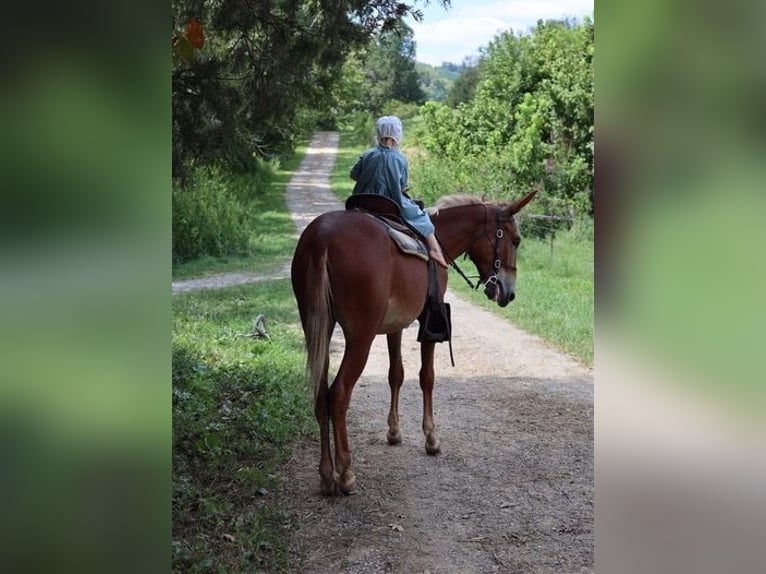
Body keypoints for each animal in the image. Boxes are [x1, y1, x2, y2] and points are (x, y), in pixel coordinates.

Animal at [292, 191, 536, 498]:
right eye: (516, 240)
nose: (509, 292)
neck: (439, 237)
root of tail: (322, 239)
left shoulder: (395, 325)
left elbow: (396, 374)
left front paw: (394, 432)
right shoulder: (430, 319)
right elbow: (426, 377)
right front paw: (431, 438)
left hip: (318, 328)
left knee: (321, 395)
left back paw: (326, 476)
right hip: (360, 337)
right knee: (338, 395)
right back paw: (345, 473)